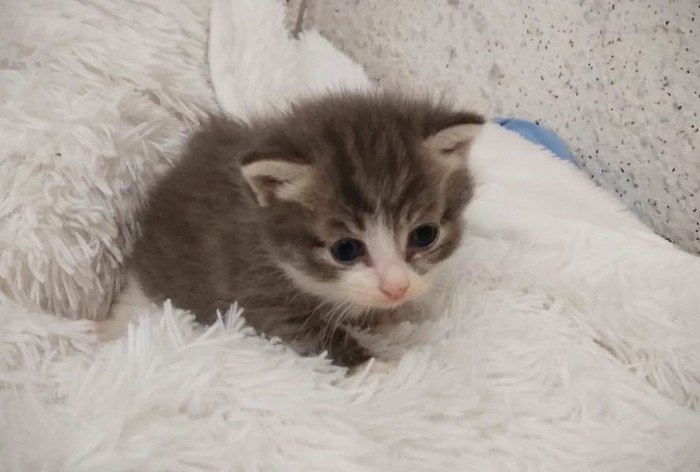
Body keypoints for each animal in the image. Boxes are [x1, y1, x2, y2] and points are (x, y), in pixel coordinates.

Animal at [104, 91, 484, 368]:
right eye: (345, 249)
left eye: (425, 235)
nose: (397, 288)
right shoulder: (256, 291)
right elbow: (316, 335)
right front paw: (379, 368)